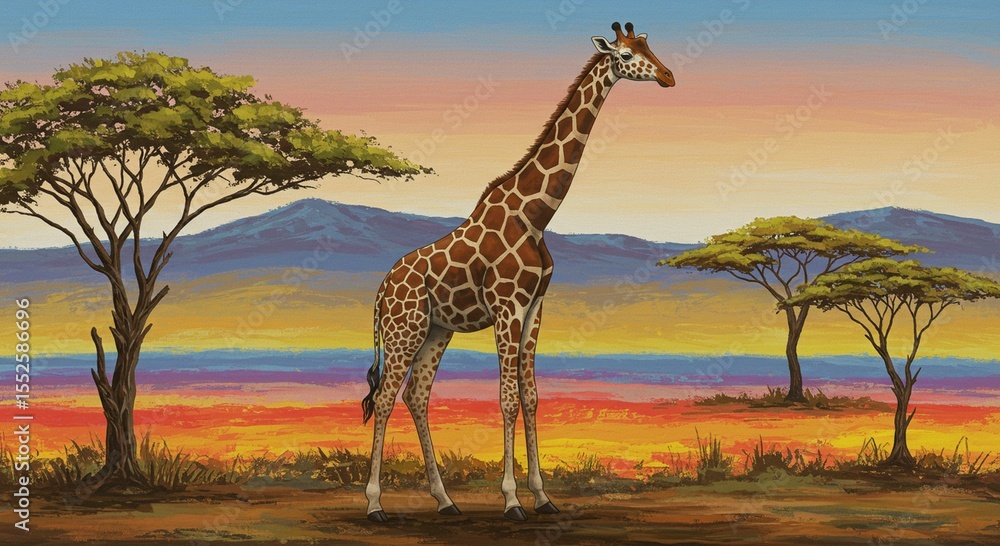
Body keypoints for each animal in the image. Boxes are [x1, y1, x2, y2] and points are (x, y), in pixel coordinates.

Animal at [361, 22, 674, 522]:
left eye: (649, 45)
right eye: (626, 55)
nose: (668, 76)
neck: (535, 214)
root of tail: (380, 291)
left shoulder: (535, 307)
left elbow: (530, 397)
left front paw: (543, 496)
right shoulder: (507, 306)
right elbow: (507, 398)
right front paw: (511, 501)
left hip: (435, 330)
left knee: (416, 396)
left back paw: (445, 500)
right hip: (403, 329)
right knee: (387, 398)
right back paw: (374, 505)